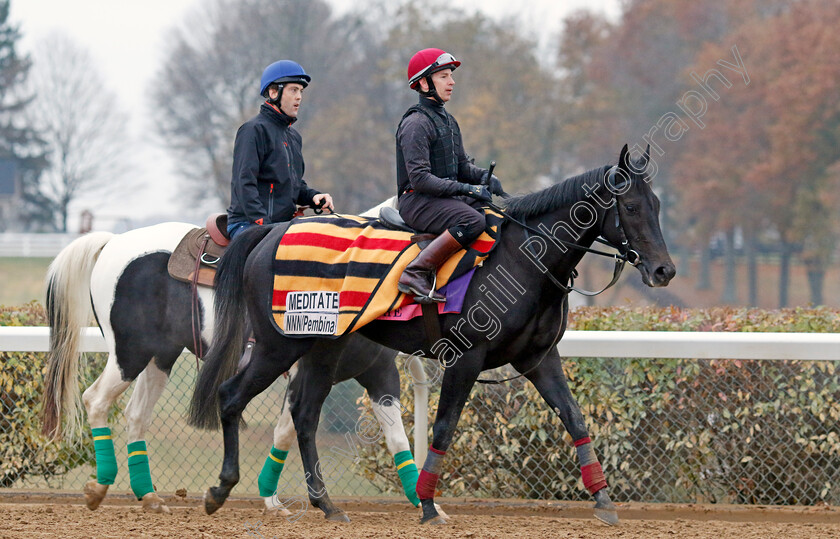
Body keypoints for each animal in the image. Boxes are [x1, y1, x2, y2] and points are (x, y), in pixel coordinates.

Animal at [39, 201, 434, 516]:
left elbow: (396, 437)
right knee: (96, 400)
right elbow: (289, 429)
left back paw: (148, 496)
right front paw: (273, 499)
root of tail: (113, 242)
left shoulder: (379, 372)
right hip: (129, 353)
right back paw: (99, 486)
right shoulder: (300, 369)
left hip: (159, 356)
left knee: (137, 415)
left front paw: (425, 502)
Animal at [190, 146, 676, 524]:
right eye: (632, 208)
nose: (664, 271)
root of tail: (273, 230)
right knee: (232, 396)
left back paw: (326, 505)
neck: (524, 258)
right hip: (280, 344)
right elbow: (443, 429)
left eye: (657, 205)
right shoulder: (466, 358)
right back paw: (220, 490)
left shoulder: (538, 359)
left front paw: (604, 500)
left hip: (324, 346)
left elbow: (575, 418)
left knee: (305, 415)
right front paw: (426, 505)